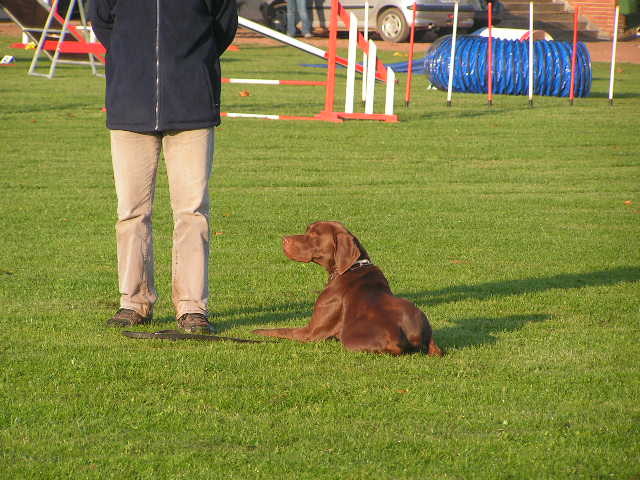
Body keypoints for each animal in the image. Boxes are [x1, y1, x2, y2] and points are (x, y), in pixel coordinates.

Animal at [252, 222, 442, 356]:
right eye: (307, 230)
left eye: (314, 235)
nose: (284, 240)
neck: (352, 267)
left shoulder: (310, 332)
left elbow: (278, 330)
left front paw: (255, 331)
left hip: (351, 339)